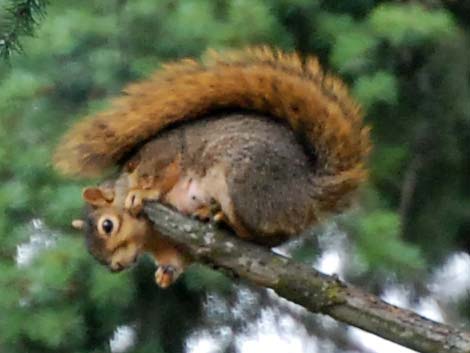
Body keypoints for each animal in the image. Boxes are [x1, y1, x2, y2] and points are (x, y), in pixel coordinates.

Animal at [54, 46, 370, 288]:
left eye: (107, 226)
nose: (116, 267)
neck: (151, 237)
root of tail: (307, 191)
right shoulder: (172, 247)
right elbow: (178, 260)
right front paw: (165, 275)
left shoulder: (162, 154)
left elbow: (160, 173)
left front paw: (141, 193)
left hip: (244, 180)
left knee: (257, 233)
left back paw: (219, 216)